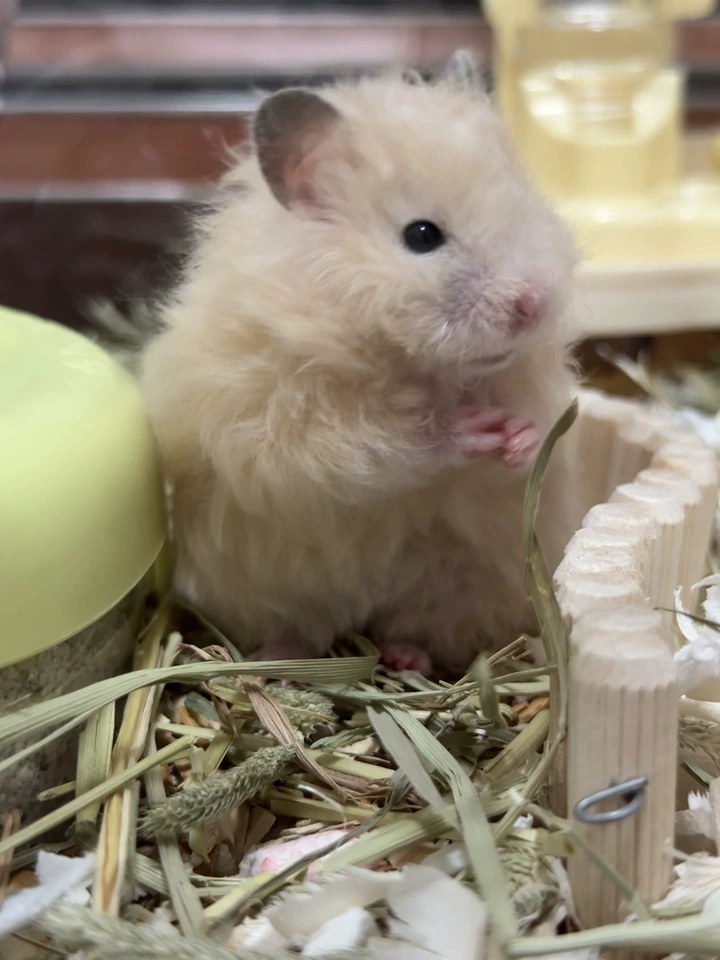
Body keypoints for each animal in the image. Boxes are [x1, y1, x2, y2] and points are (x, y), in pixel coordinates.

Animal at [140, 52, 582, 676]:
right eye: (421, 235)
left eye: (526, 203)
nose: (533, 303)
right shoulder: (285, 419)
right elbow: (380, 445)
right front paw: (469, 428)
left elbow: (527, 445)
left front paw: (519, 438)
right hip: (266, 585)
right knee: (300, 627)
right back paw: (276, 660)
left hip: (461, 584)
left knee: (420, 628)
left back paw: (403, 658)